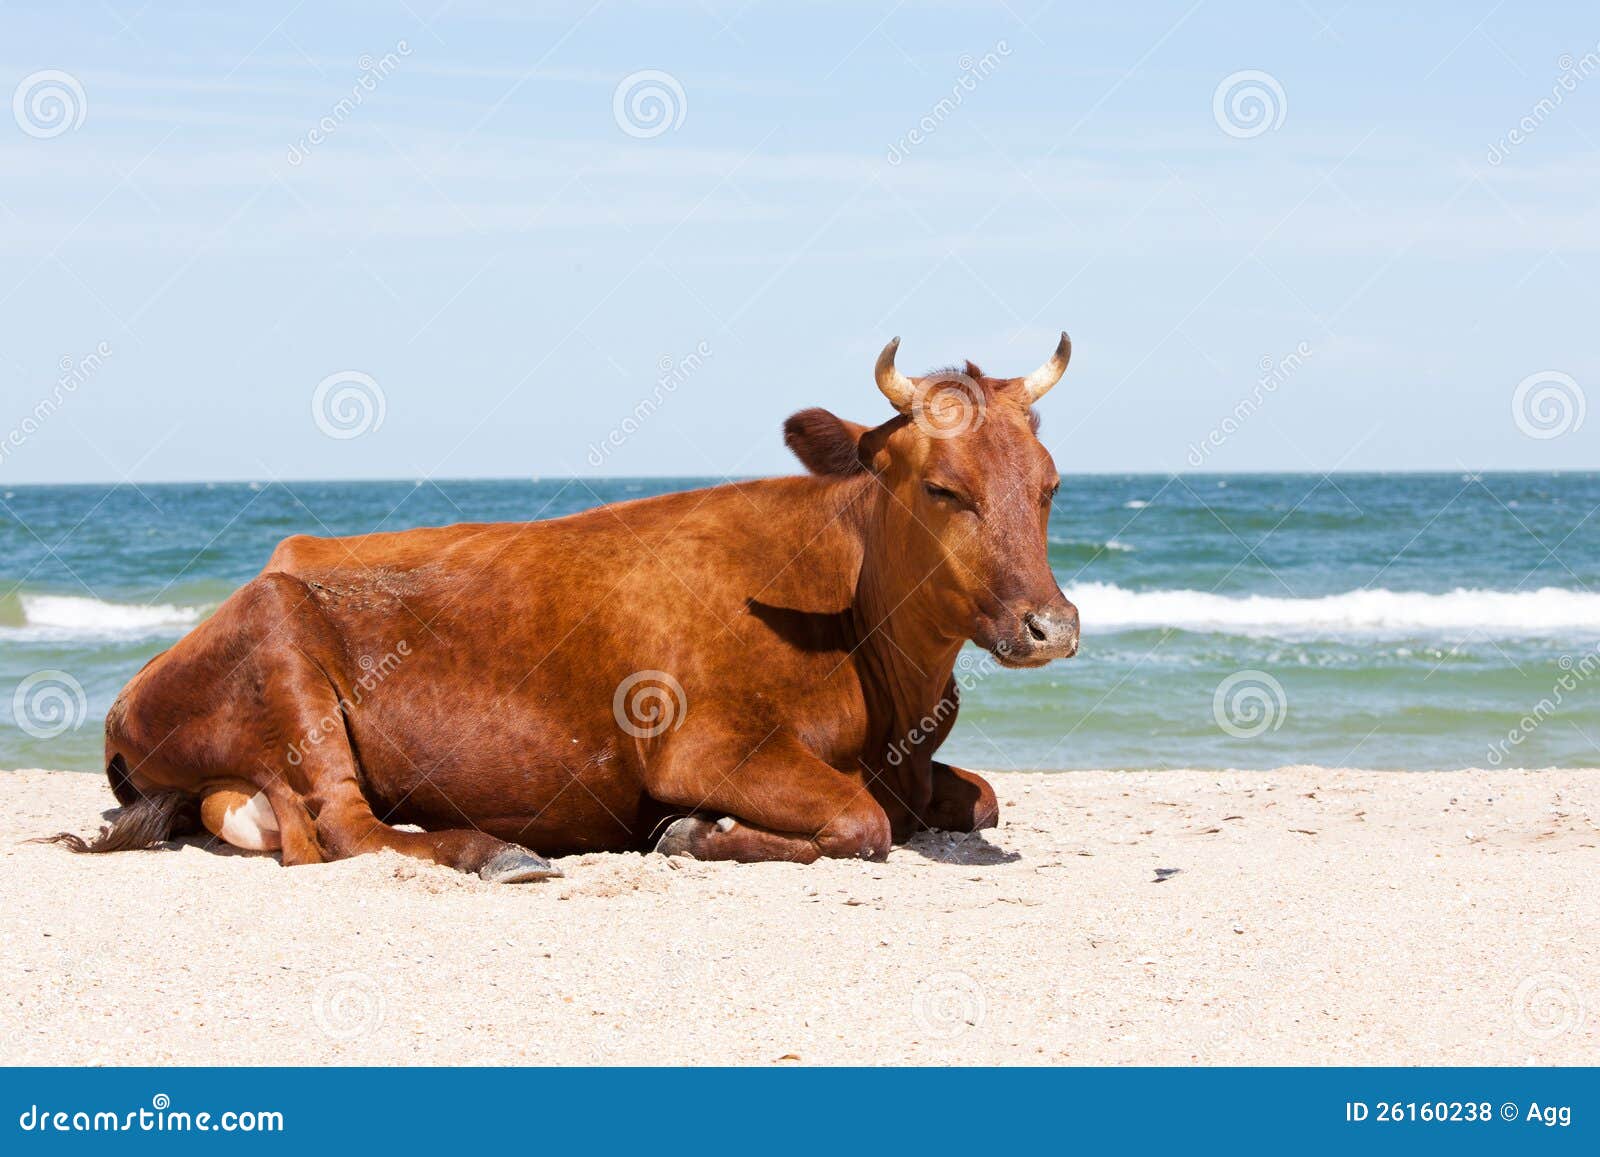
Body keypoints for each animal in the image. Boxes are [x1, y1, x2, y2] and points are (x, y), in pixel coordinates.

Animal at [46, 334, 1080, 881]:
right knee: (337, 828)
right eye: (943, 489)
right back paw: (493, 849)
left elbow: (979, 797)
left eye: (1051, 486)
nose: (1052, 625)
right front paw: (691, 831)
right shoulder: (709, 745)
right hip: (283, 647)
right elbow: (862, 823)